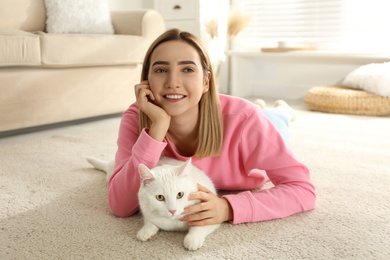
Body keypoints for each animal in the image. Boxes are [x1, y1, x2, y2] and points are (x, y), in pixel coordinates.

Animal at [87, 156, 219, 250]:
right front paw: (146, 231)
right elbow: (150, 222)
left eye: (180, 194)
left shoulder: (209, 212)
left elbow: (200, 225)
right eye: (160, 197)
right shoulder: (146, 210)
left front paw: (192, 239)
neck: (172, 222)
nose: (172, 210)